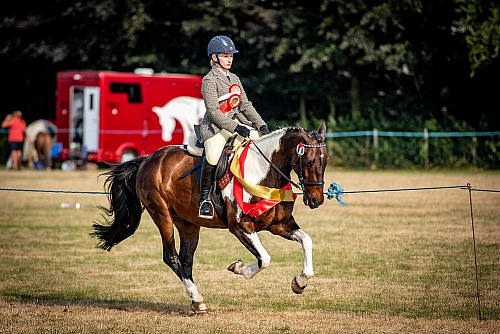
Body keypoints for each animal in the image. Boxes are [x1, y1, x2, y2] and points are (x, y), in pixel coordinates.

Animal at [92, 122, 330, 314]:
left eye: (325, 160)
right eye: (309, 162)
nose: (316, 200)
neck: (263, 173)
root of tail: (148, 159)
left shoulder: (280, 225)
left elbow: (307, 241)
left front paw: (299, 282)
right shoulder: (240, 227)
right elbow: (264, 259)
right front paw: (239, 268)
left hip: (187, 224)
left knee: (186, 260)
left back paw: (196, 302)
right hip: (162, 215)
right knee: (172, 257)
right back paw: (197, 299)